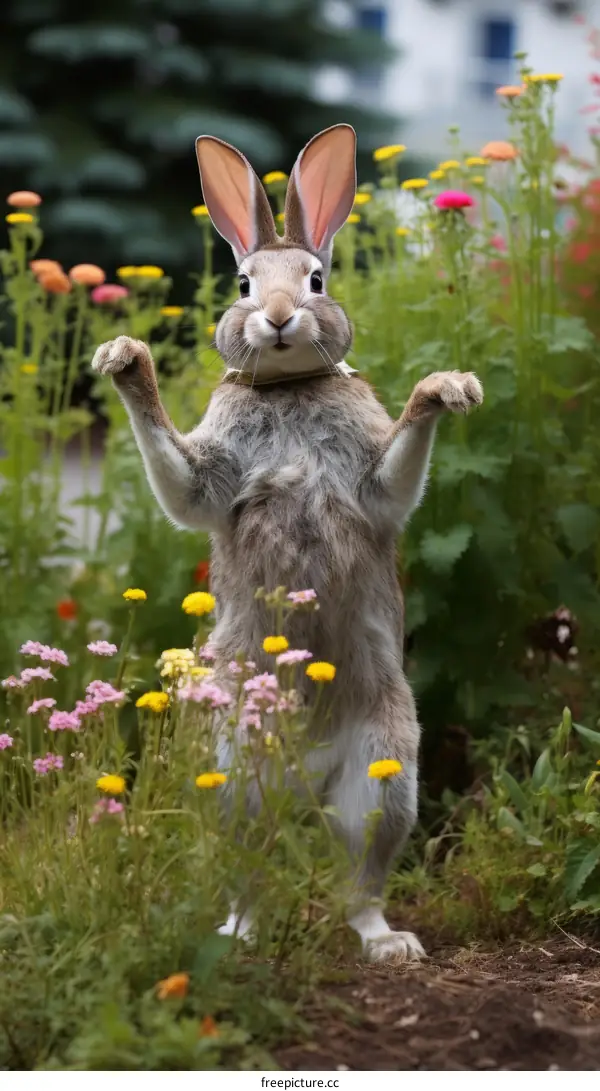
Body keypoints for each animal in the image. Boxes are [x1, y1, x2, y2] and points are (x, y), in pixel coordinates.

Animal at [91, 124, 483, 963]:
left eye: (316, 278)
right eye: (242, 283)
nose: (275, 317)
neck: (288, 385)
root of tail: (303, 773)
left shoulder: (374, 479)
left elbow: (397, 469)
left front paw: (448, 389)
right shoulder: (208, 475)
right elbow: (180, 476)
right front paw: (123, 360)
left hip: (384, 774)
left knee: (358, 877)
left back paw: (387, 944)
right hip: (236, 775)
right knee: (253, 865)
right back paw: (240, 934)